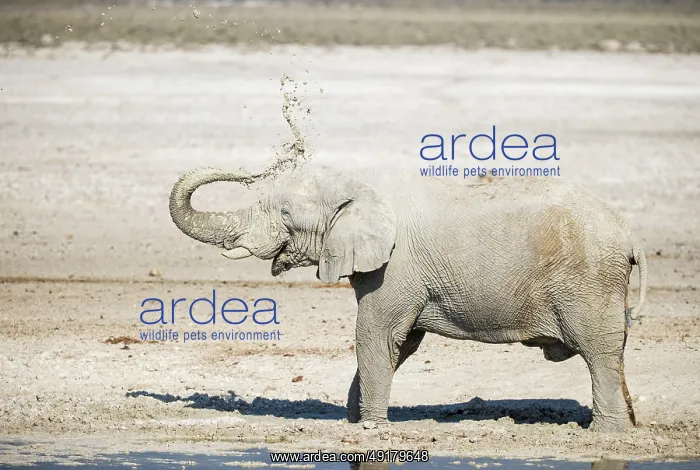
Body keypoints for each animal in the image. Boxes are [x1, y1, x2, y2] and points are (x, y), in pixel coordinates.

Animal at [169, 166, 647, 432]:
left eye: (286, 215)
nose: (248, 173)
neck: (363, 184)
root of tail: (630, 234)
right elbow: (399, 345)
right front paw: (356, 421)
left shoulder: (396, 268)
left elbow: (376, 336)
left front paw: (371, 427)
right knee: (613, 352)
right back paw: (628, 426)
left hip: (589, 281)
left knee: (599, 351)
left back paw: (606, 435)